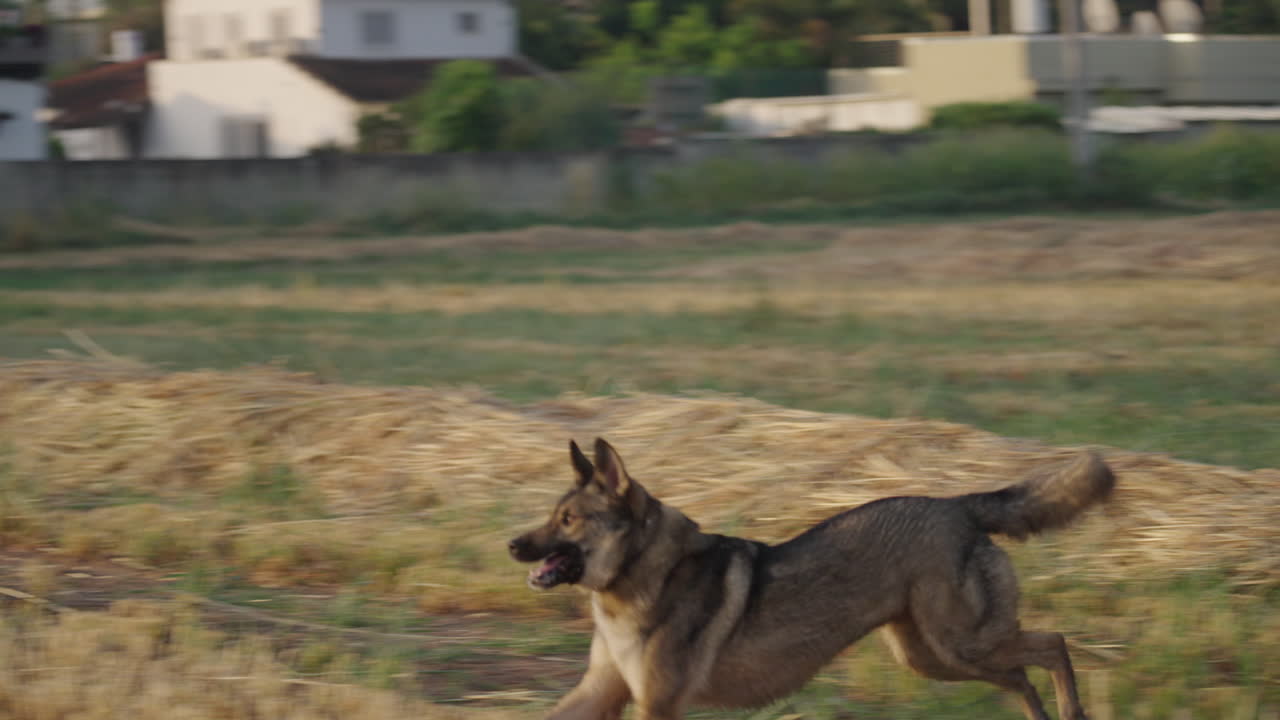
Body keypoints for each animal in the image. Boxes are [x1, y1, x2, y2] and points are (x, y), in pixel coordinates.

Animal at [509, 438, 1115, 720]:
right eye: (552, 515)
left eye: (569, 520)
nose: (512, 545)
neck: (636, 577)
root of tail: (958, 506)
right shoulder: (599, 692)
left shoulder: (657, 704)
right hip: (934, 657)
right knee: (1022, 677)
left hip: (960, 644)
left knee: (1053, 645)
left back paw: (1073, 710)